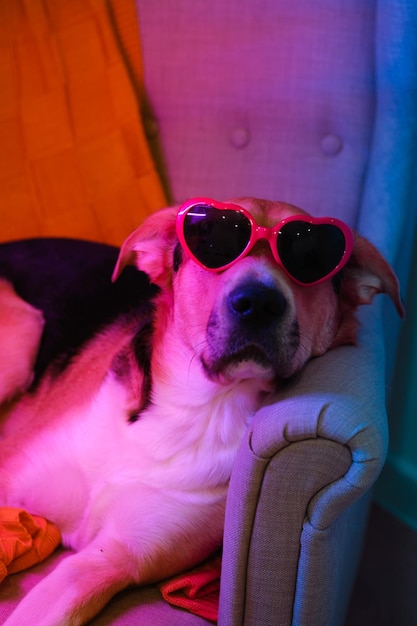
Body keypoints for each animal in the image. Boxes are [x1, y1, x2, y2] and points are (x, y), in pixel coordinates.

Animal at [0, 199, 404, 620]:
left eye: (310, 254)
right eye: (210, 238)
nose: (259, 303)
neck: (198, 410)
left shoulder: (108, 560)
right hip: (22, 334)